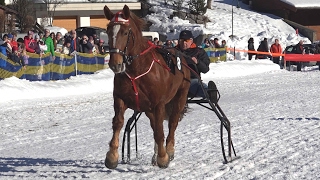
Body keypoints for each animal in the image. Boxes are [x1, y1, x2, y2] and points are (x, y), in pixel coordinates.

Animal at [104, 5, 191, 169]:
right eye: (108, 30)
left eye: (125, 32)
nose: (115, 64)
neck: (137, 70)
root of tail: (180, 55)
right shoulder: (120, 98)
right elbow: (118, 123)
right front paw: (112, 156)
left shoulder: (159, 104)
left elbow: (160, 131)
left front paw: (163, 157)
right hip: (148, 109)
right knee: (156, 125)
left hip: (180, 96)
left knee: (172, 122)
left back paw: (169, 150)